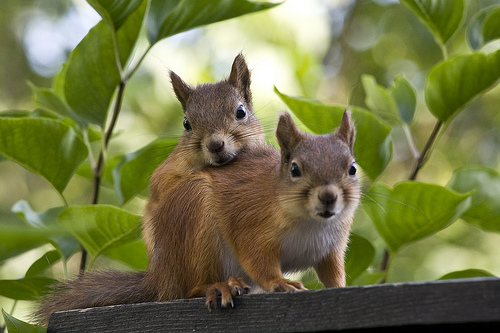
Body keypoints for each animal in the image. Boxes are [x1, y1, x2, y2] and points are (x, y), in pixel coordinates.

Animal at [38, 109, 360, 324]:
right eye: (294, 169)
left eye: (352, 168)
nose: (328, 197)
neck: (312, 222)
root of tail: (162, 276)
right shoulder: (251, 224)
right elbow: (257, 260)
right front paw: (279, 282)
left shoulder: (330, 249)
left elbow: (333, 274)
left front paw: (342, 288)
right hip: (196, 218)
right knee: (190, 288)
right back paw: (217, 286)